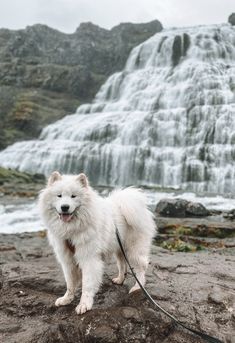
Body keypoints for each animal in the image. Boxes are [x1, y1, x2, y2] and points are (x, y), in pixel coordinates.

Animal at [38, 173, 156, 316]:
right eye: (59, 195)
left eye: (73, 196)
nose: (64, 207)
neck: (72, 230)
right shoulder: (67, 260)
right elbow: (70, 283)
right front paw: (67, 299)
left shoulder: (89, 258)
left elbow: (87, 284)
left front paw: (84, 304)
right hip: (119, 247)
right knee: (122, 264)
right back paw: (120, 279)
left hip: (133, 249)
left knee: (141, 267)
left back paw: (137, 287)